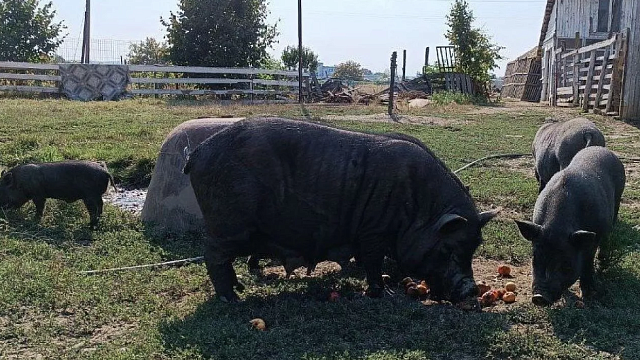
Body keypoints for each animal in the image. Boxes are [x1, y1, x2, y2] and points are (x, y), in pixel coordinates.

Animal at [182, 118, 498, 306]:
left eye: (474, 248)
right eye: (449, 249)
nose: (471, 290)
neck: (418, 211)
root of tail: (196, 153)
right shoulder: (374, 230)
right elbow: (372, 261)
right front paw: (381, 292)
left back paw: (239, 289)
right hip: (226, 224)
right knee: (213, 256)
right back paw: (231, 299)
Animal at [516, 146, 624, 306]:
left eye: (565, 263)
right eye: (535, 258)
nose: (539, 297)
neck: (558, 226)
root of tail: (603, 149)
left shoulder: (594, 238)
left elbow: (587, 264)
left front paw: (588, 296)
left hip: (618, 198)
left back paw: (602, 261)